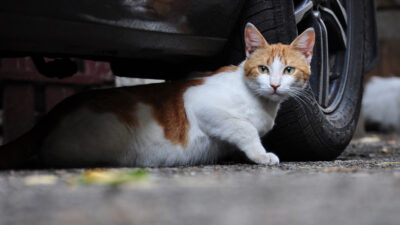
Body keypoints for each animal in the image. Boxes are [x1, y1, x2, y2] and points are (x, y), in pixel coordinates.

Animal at [0, 23, 314, 168]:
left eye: (288, 70)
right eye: (263, 68)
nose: (275, 85)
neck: (261, 102)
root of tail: (55, 112)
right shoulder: (201, 102)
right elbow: (244, 128)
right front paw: (261, 155)